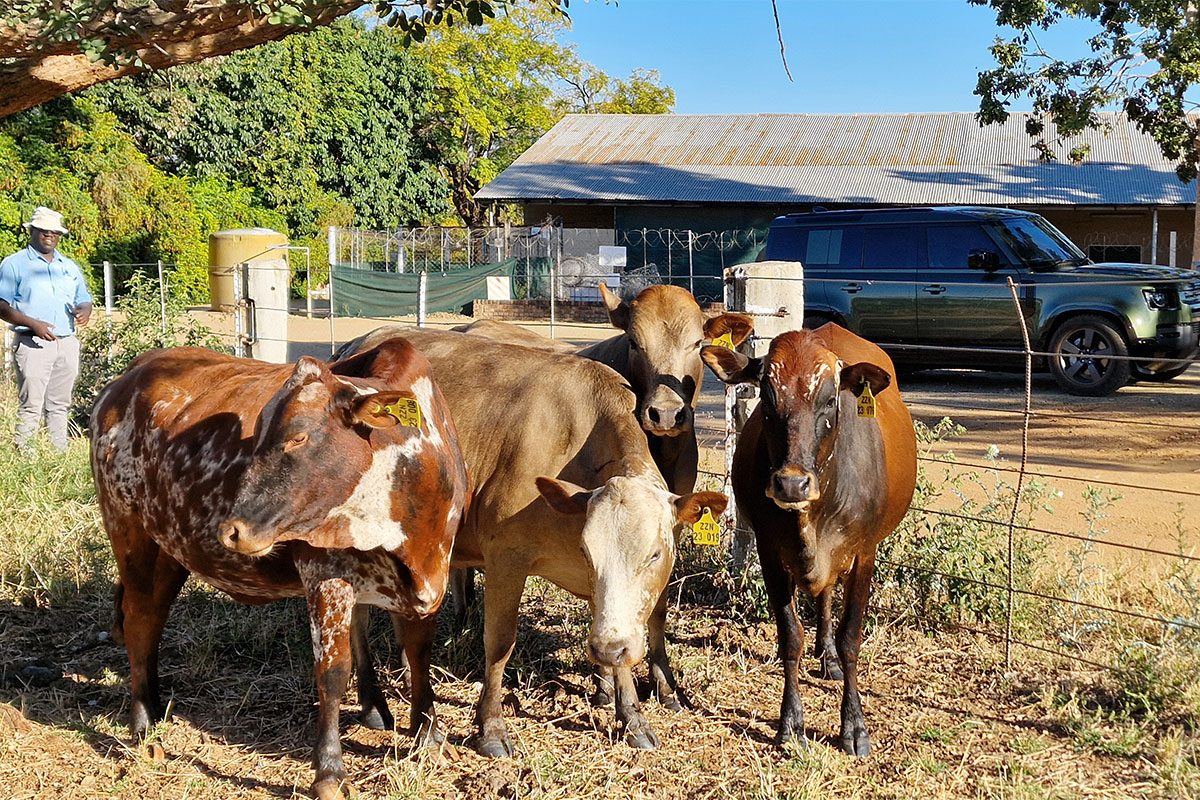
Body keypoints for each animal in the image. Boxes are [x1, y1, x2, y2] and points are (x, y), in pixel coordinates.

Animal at [90, 342, 471, 800]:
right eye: (256, 436)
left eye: (298, 436)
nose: (232, 531)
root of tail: (129, 377)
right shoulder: (326, 575)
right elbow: (333, 673)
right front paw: (329, 771)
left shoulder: (430, 574)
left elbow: (417, 653)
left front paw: (429, 734)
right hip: (130, 534)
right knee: (140, 621)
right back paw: (143, 723)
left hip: (169, 549)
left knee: (153, 617)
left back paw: (156, 708)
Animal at [336, 328, 728, 756]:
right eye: (588, 551)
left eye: (655, 554)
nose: (607, 650)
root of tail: (358, 344)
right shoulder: (506, 557)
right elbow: (499, 643)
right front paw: (491, 728)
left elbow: (618, 634)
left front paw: (632, 718)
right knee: (357, 614)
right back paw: (374, 703)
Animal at [455, 283, 752, 708]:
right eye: (634, 342)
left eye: (697, 343)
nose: (665, 413)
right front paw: (605, 686)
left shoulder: (672, 527)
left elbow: (654, 605)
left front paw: (663, 683)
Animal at [699, 324, 917, 756]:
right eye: (766, 396)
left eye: (830, 399)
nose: (791, 483)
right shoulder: (768, 550)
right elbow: (790, 637)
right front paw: (790, 723)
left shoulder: (864, 552)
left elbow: (851, 639)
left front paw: (854, 727)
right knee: (824, 594)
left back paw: (830, 657)